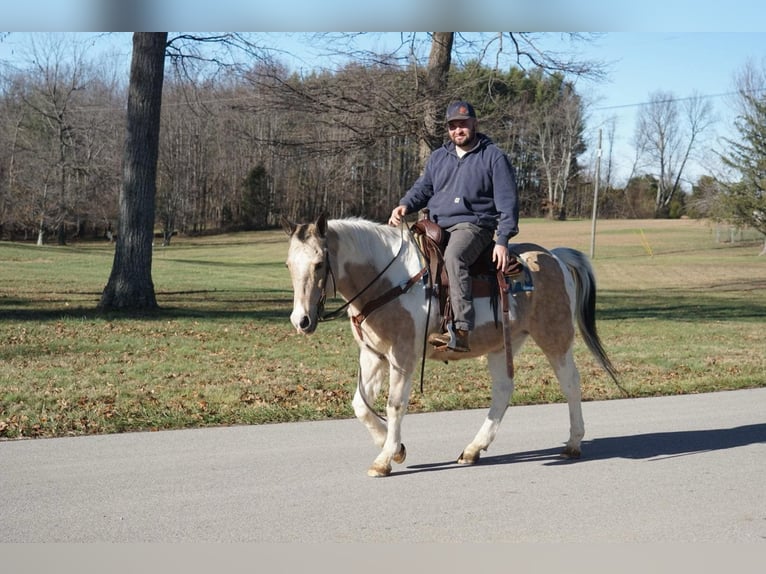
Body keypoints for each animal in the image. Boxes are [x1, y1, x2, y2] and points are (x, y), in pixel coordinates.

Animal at [282, 214, 620, 477]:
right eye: (288, 264)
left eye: (319, 263)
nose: (301, 320)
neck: (388, 281)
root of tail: (556, 257)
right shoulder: (373, 355)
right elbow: (360, 406)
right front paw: (395, 448)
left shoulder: (403, 354)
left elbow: (394, 405)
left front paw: (384, 459)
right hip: (501, 345)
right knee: (503, 391)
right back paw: (473, 449)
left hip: (554, 337)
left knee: (571, 383)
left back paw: (574, 443)